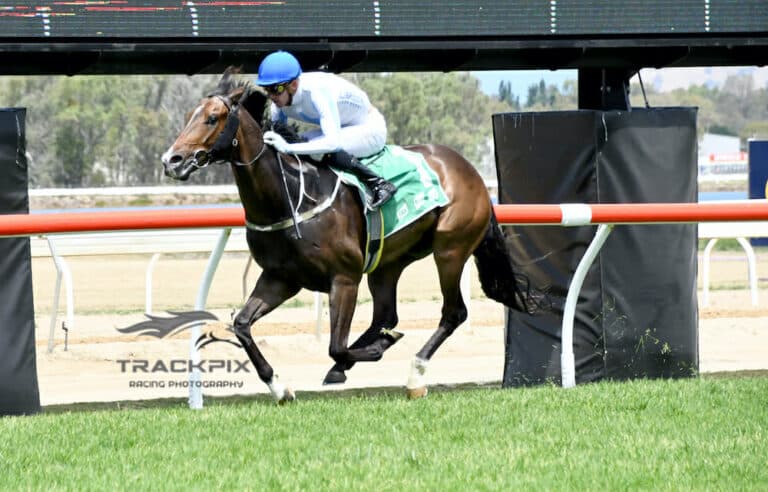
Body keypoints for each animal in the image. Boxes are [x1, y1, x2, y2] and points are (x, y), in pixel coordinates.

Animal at [161, 67, 538, 403]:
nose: (171, 160)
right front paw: (280, 388)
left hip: (451, 249)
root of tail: (468, 169)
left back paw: (414, 374)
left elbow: (336, 346)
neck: (290, 196)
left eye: (212, 118)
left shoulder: (344, 279)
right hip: (388, 263)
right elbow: (241, 325)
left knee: (453, 312)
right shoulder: (280, 278)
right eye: (189, 115)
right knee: (387, 316)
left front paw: (373, 350)